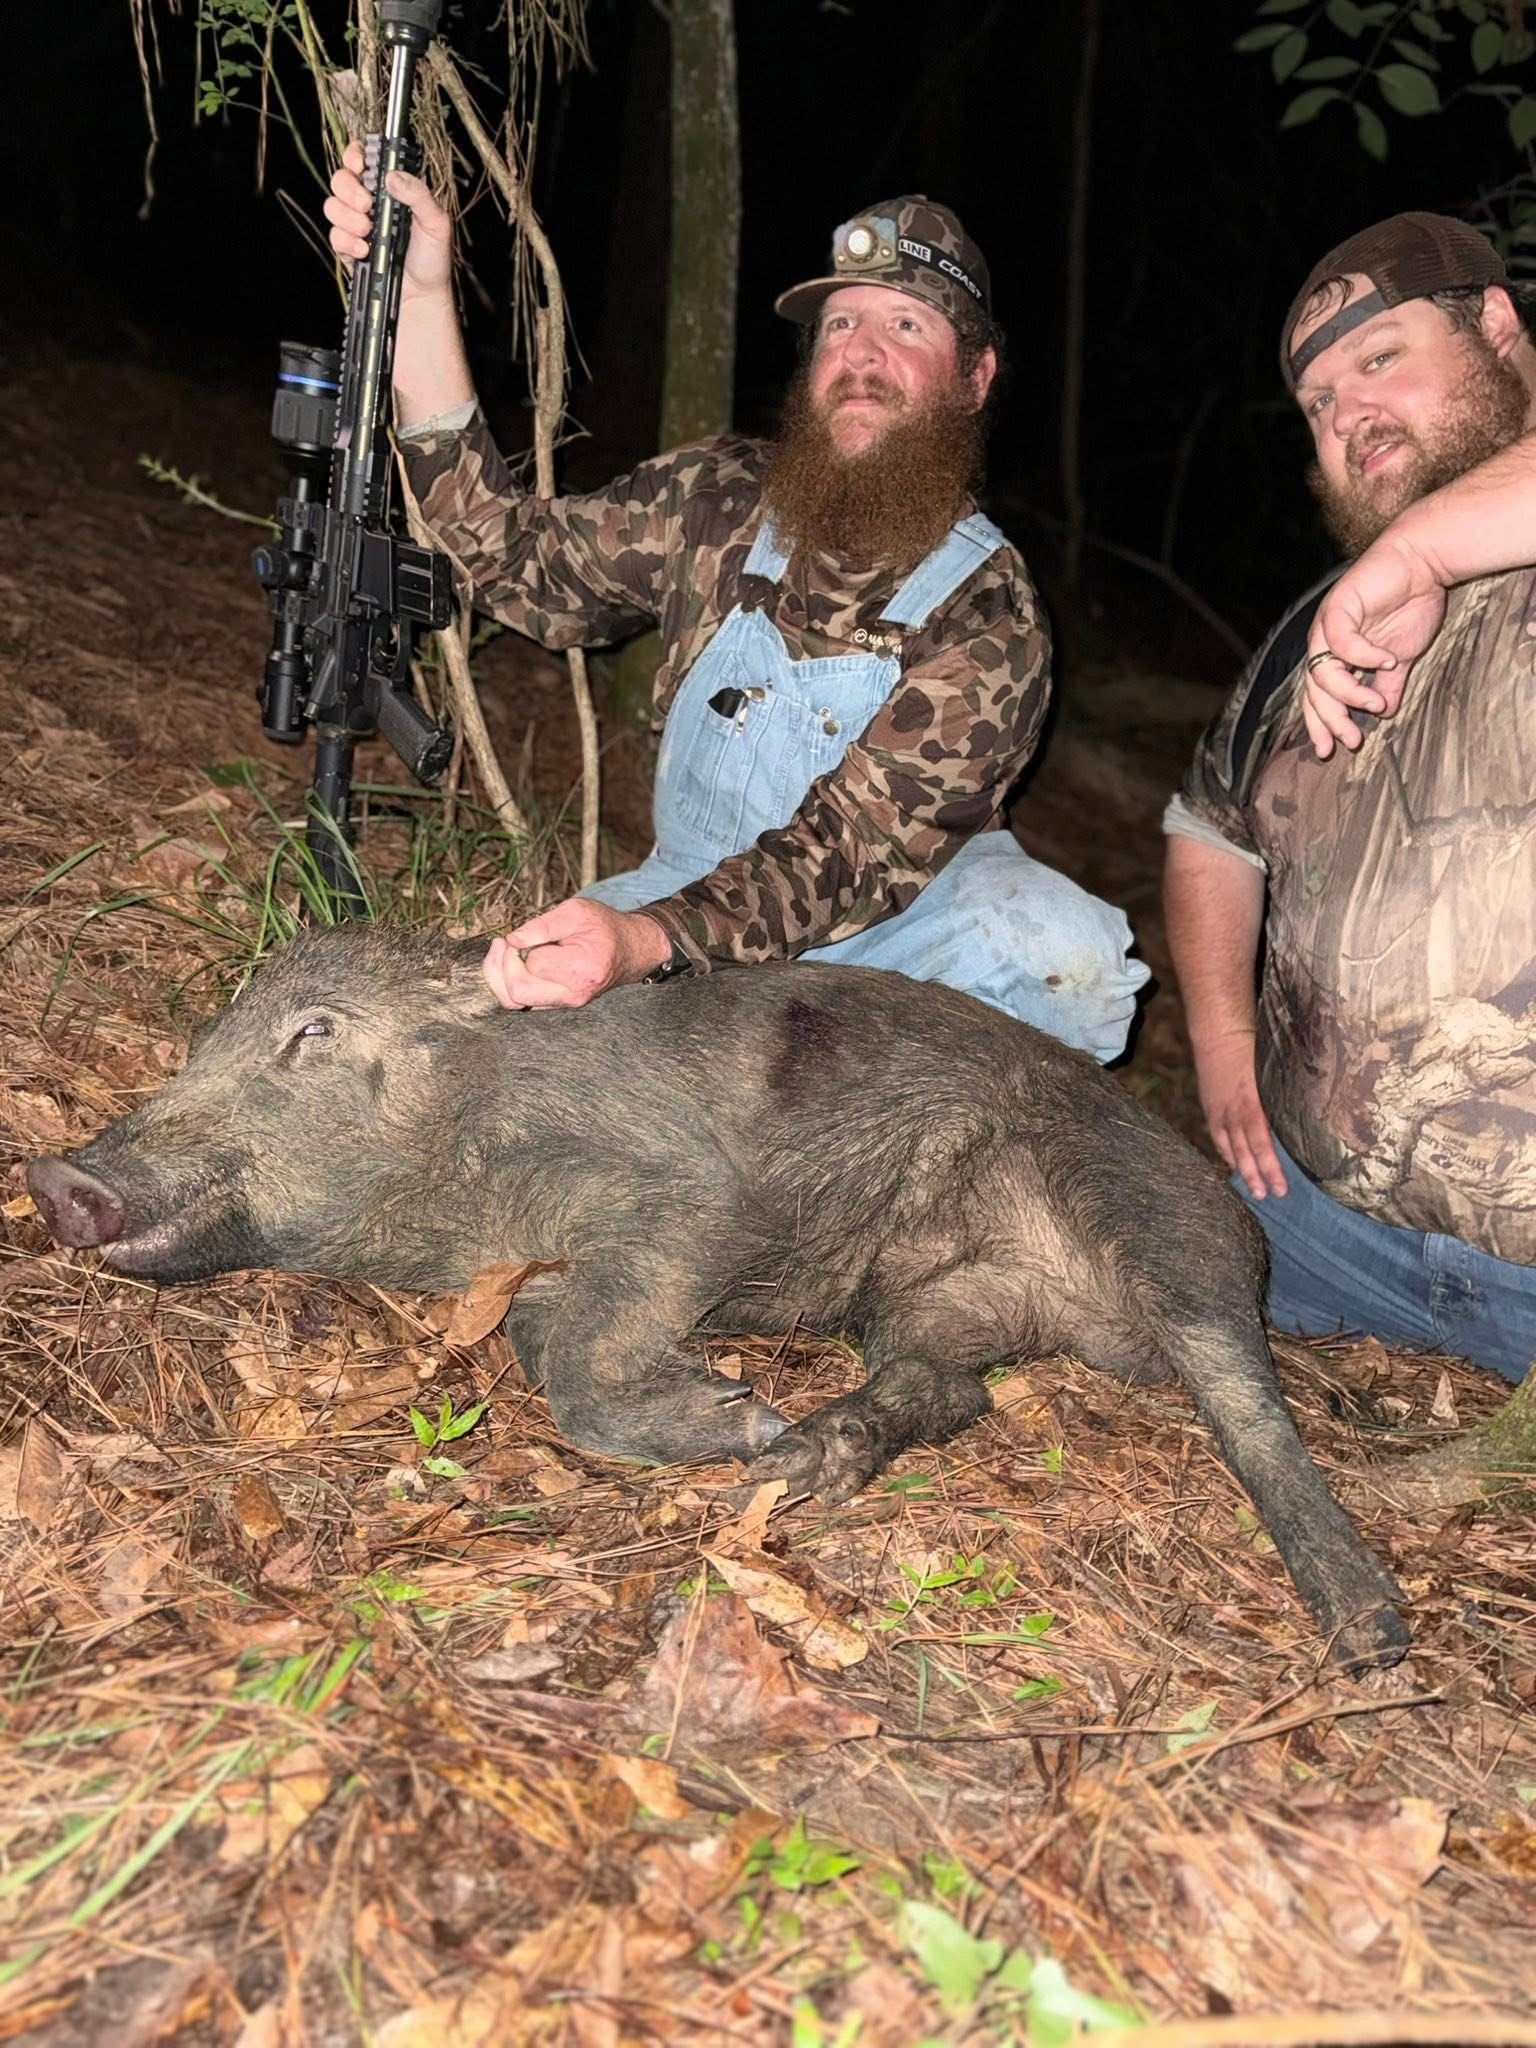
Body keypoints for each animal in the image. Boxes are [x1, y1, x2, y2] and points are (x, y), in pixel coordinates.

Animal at [27, 923, 1407, 1666]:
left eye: (314, 1031)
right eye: (210, 1032)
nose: (57, 1174)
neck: (463, 1185)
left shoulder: (693, 1197)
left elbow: (580, 1352)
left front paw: (734, 1407)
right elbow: (548, 1329)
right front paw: (751, 1423)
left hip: (1160, 1228)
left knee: (1242, 1386)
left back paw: (1369, 1631)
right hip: (936, 1303)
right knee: (949, 1388)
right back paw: (801, 1460)